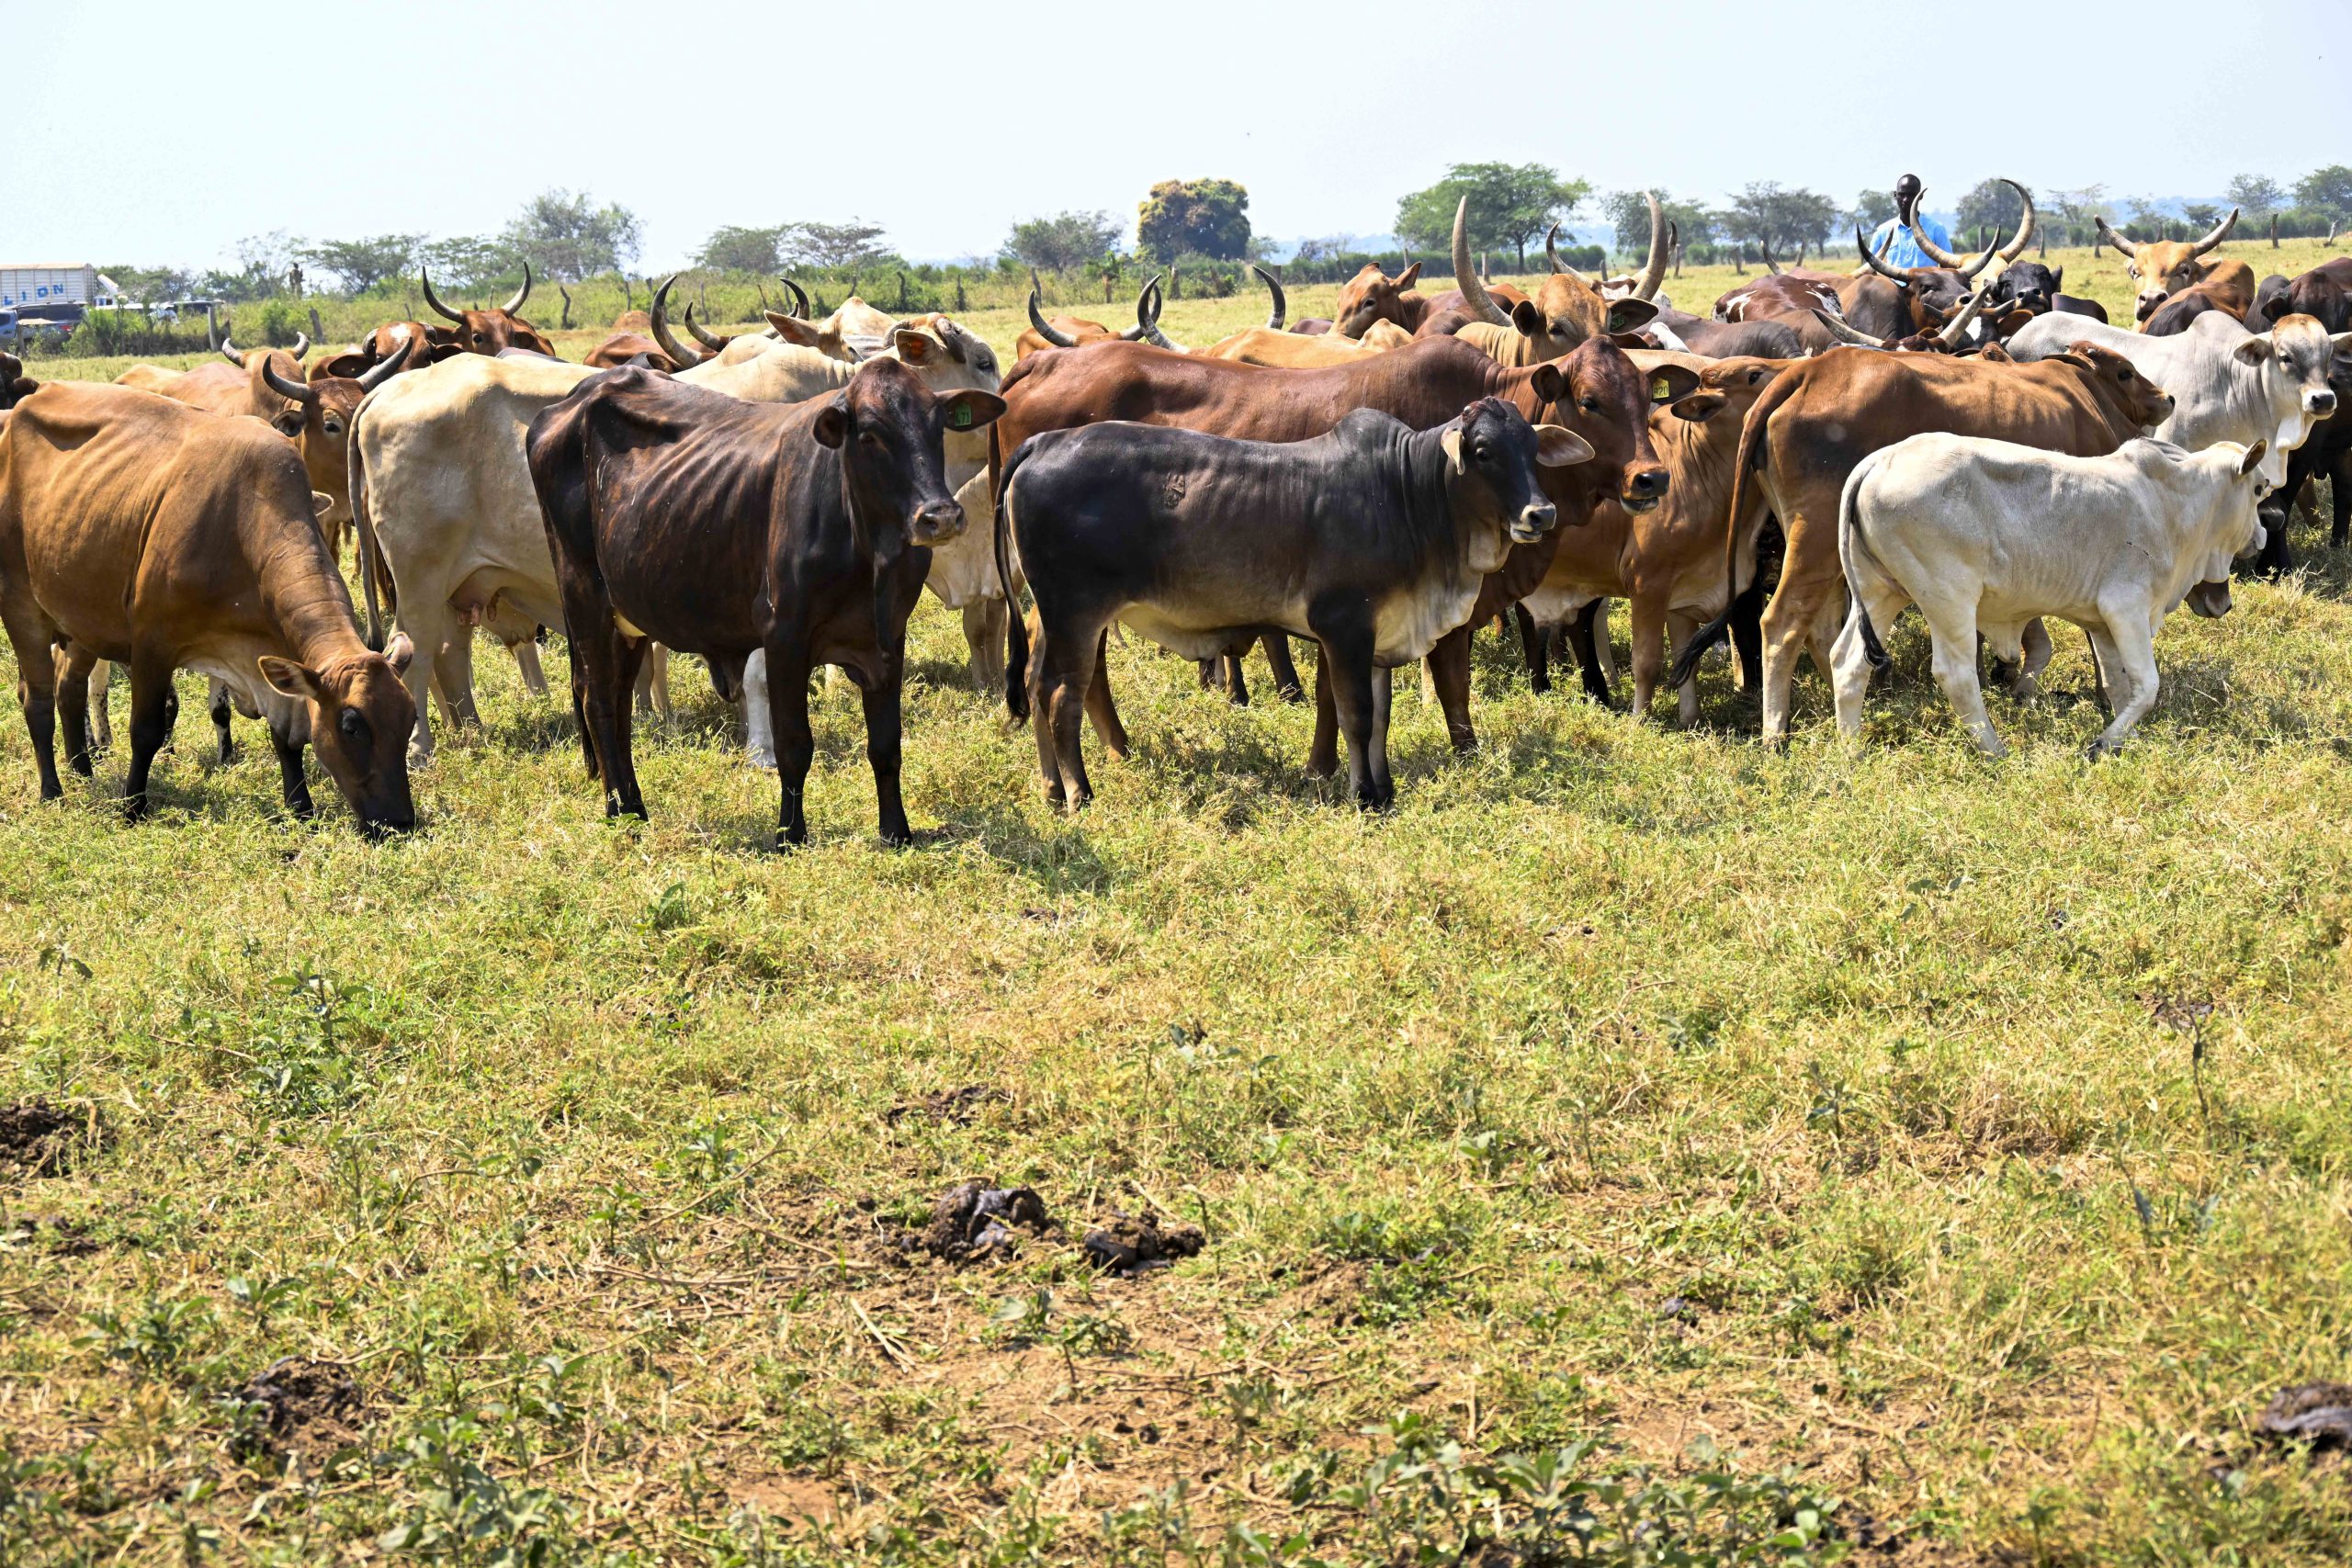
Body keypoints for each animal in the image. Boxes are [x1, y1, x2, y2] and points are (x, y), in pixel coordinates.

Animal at [529, 359, 1006, 846]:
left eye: (937, 424)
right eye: (871, 434)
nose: (940, 517)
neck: (868, 554)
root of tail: (581, 394)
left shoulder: (887, 639)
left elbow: (886, 746)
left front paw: (897, 832)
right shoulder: (784, 638)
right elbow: (794, 745)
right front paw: (789, 834)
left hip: (628, 616)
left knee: (620, 704)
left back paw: (634, 807)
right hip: (583, 594)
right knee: (598, 700)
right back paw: (618, 812)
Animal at [1665, 341, 2173, 742]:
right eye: (2125, 371)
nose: (2166, 397)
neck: (2084, 396)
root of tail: (1807, 371)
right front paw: (2107, 698)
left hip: (1824, 549)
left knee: (1825, 628)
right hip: (1816, 539)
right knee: (1781, 622)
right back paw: (1776, 732)